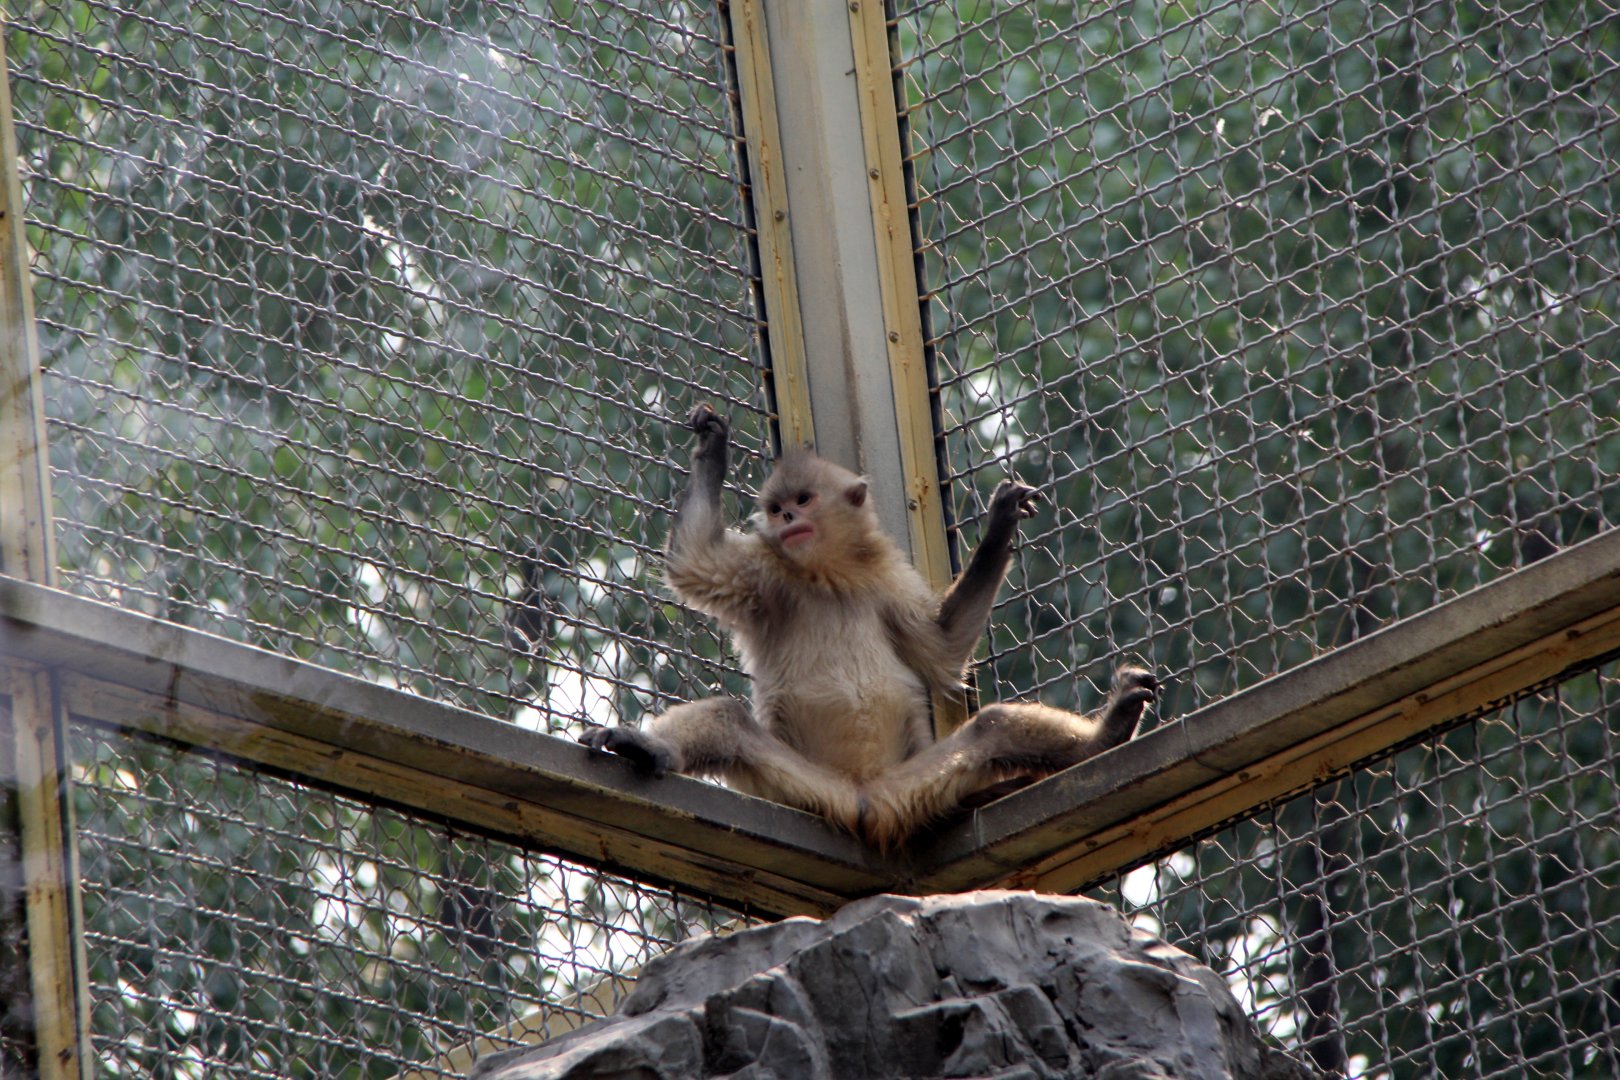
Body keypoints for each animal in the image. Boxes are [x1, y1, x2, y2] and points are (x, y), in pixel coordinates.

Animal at [579, 404, 1158, 850]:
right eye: (777, 508)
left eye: (803, 501)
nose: (787, 520)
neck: (827, 575)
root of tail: (865, 802)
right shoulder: (762, 576)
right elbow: (696, 562)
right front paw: (712, 448)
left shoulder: (885, 578)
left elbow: (941, 647)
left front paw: (999, 529)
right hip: (798, 788)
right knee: (726, 721)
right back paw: (650, 748)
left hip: (918, 782)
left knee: (994, 729)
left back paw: (1103, 738)